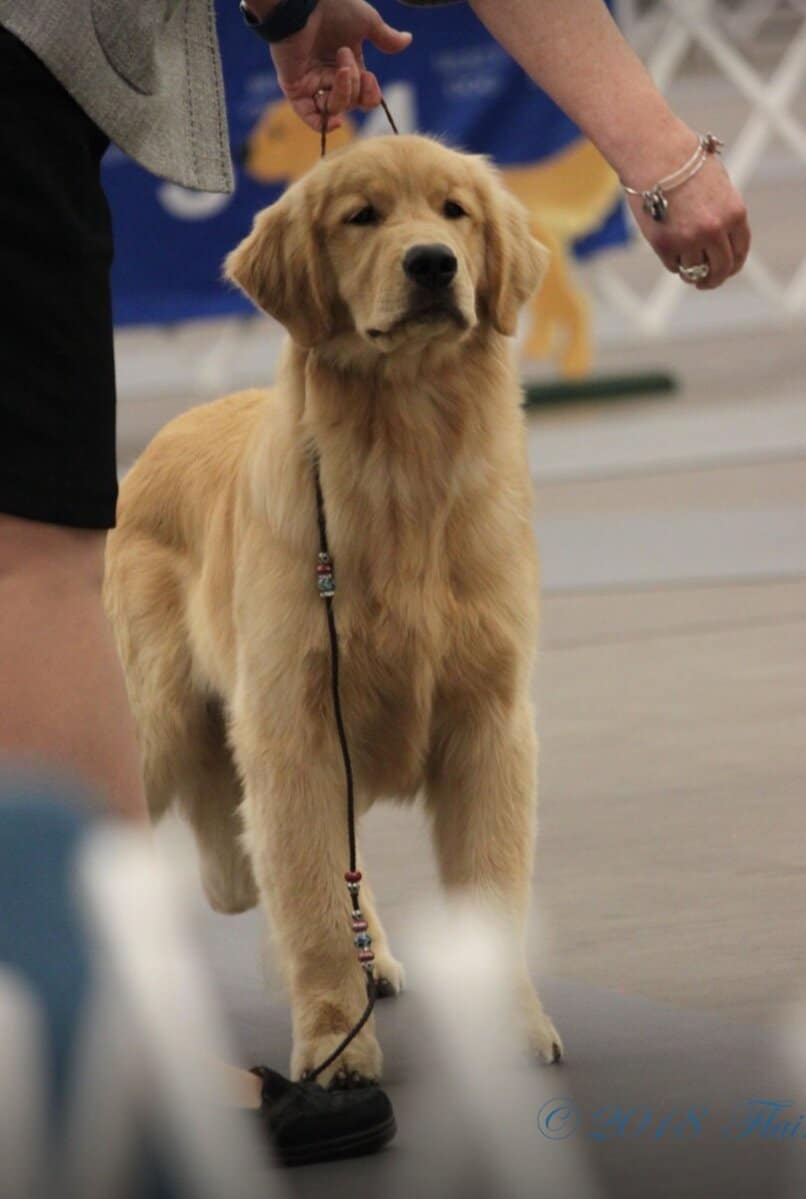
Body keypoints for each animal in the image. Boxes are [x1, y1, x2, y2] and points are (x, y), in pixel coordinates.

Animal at [103, 133, 563, 1088]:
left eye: (455, 211)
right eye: (363, 216)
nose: (432, 263)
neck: (407, 457)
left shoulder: (489, 720)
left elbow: (490, 890)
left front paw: (512, 1025)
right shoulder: (294, 725)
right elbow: (310, 898)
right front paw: (331, 1045)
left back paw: (375, 955)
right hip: (157, 719)